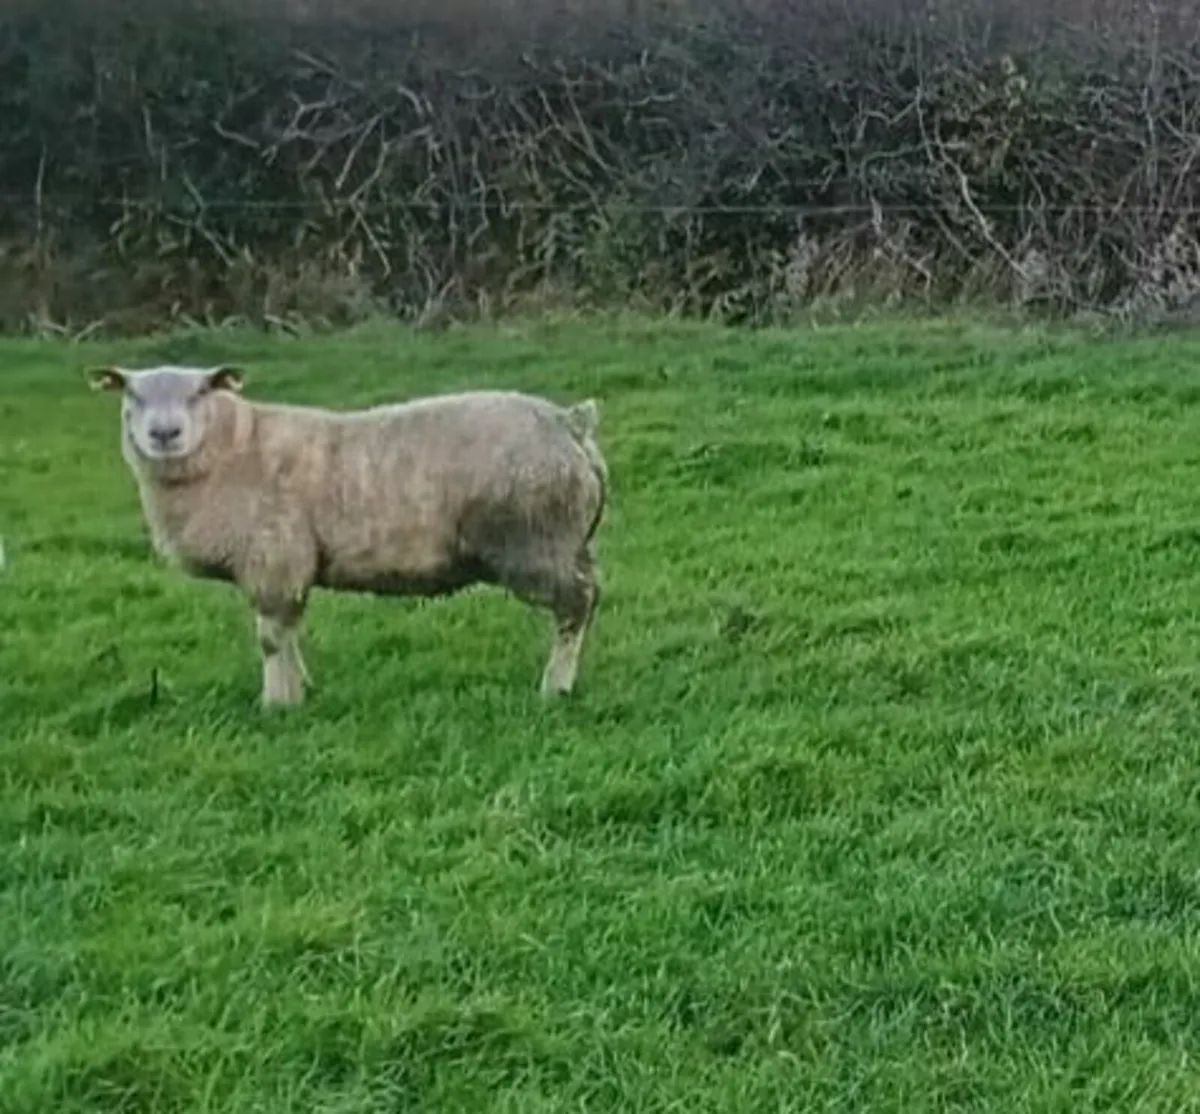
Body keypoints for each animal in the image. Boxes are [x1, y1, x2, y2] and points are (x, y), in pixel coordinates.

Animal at [87, 364, 608, 708]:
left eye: (199, 392)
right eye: (132, 395)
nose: (164, 434)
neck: (233, 449)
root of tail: (569, 422)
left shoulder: (274, 558)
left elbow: (270, 639)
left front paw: (277, 703)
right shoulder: (285, 567)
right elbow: (288, 632)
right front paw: (301, 689)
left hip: (535, 541)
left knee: (576, 605)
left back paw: (555, 687)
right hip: (568, 542)